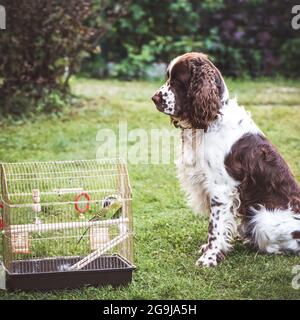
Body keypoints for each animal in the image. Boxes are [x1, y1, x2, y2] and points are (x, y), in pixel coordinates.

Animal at [151, 52, 300, 268]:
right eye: (168, 77)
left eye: (178, 80)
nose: (154, 98)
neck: (211, 120)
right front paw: (210, 249)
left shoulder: (220, 187)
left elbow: (214, 226)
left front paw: (210, 257)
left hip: (262, 218)